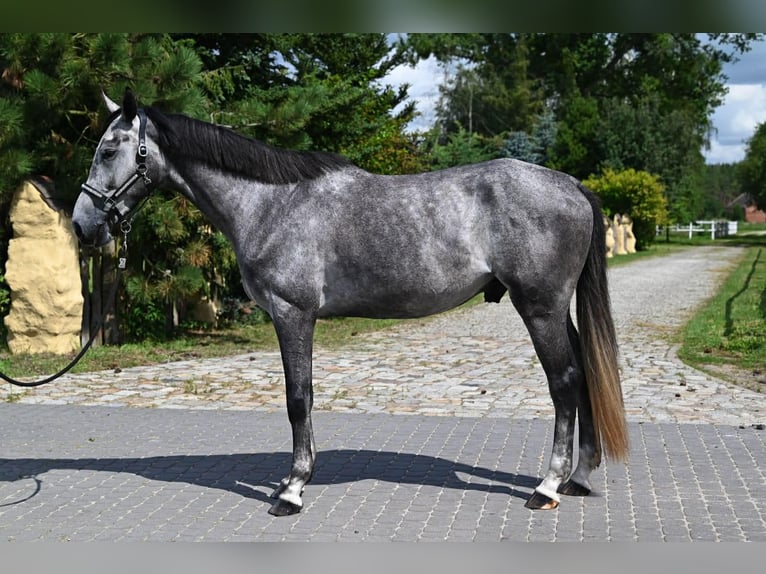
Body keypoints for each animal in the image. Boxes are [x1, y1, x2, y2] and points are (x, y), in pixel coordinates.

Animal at [73, 88, 628, 517]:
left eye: (108, 150)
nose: (82, 225)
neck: (271, 202)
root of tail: (570, 184)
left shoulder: (293, 314)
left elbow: (298, 398)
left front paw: (292, 490)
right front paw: (290, 482)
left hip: (539, 308)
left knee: (564, 383)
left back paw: (547, 486)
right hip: (557, 310)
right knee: (582, 375)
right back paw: (578, 477)